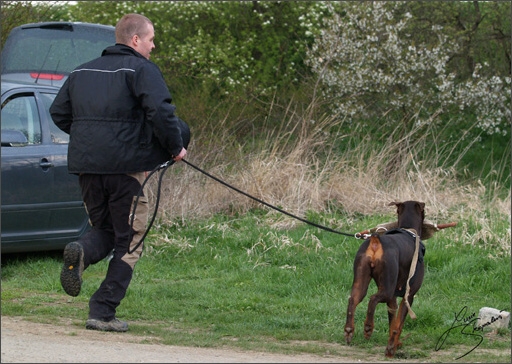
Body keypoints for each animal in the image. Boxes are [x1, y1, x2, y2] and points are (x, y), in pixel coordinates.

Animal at [346, 200, 426, 356]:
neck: (409, 230)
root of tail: (376, 240)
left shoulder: (392, 299)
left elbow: (392, 324)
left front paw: (395, 344)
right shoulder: (409, 296)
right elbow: (398, 325)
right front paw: (391, 348)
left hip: (361, 282)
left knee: (353, 299)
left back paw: (349, 330)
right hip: (387, 288)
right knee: (373, 299)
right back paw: (368, 327)